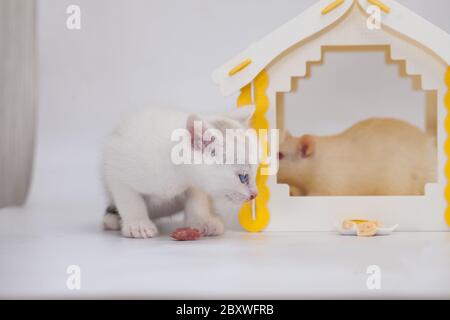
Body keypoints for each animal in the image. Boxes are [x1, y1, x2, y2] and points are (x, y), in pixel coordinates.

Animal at [101, 107, 256, 238]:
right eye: (243, 177)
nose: (255, 195)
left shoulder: (196, 182)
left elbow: (197, 198)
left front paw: (202, 220)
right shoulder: (115, 164)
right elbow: (129, 198)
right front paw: (138, 224)